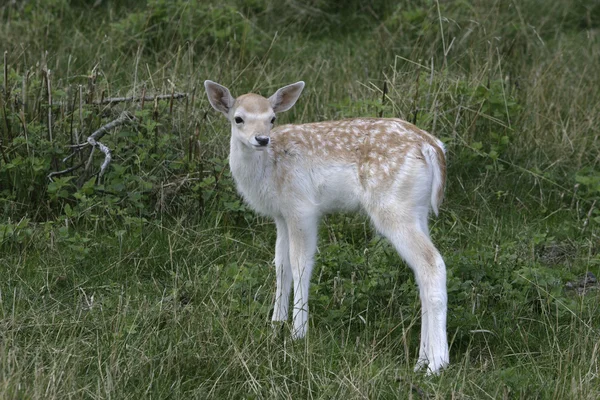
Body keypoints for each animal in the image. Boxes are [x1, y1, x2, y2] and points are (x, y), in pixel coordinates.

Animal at [204, 79, 448, 374]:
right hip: (417, 210)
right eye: (238, 119)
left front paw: (297, 334)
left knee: (432, 263)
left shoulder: (302, 208)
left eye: (272, 119)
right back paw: (421, 360)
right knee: (421, 271)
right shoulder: (281, 215)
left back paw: (437, 364)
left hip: (392, 206)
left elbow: (300, 264)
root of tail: (432, 147)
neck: (268, 170)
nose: (262, 139)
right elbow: (280, 265)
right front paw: (275, 326)